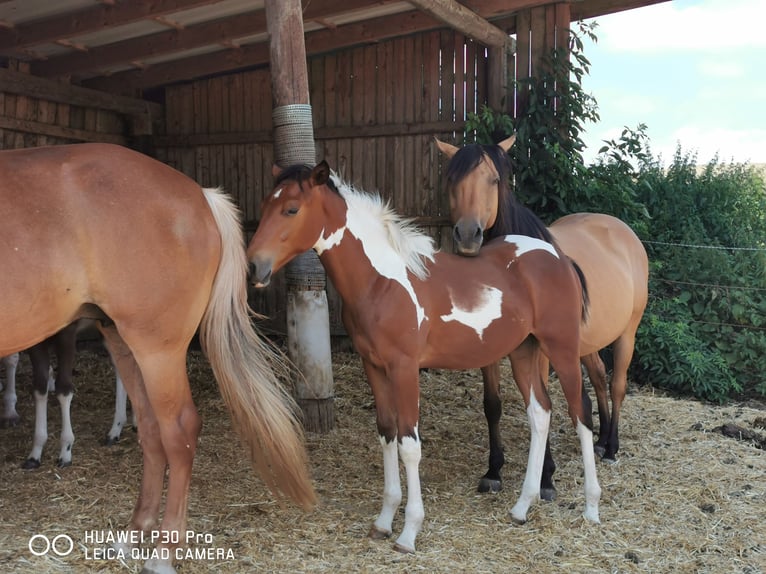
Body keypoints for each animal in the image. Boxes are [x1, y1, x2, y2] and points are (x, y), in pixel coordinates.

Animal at [0, 144, 316, 574]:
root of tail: (200, 196)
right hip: (123, 340)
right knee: (150, 430)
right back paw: (134, 533)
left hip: (156, 349)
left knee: (179, 431)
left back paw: (164, 549)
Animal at [249, 161, 604, 552]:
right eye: (265, 205)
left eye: (291, 209)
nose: (254, 267)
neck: (382, 281)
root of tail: (559, 258)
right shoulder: (374, 367)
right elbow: (387, 433)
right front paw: (383, 521)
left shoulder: (405, 368)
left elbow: (409, 445)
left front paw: (408, 532)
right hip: (523, 352)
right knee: (540, 414)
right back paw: (521, 508)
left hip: (562, 349)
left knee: (581, 414)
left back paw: (591, 508)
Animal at [438, 134, 648, 490]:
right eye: (452, 180)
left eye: (494, 180)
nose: (468, 236)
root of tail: (623, 231)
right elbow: (492, 405)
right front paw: (494, 470)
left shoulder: (540, 352)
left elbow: (541, 404)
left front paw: (546, 477)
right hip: (584, 342)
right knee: (598, 379)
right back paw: (600, 439)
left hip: (626, 334)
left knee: (617, 385)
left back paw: (611, 447)